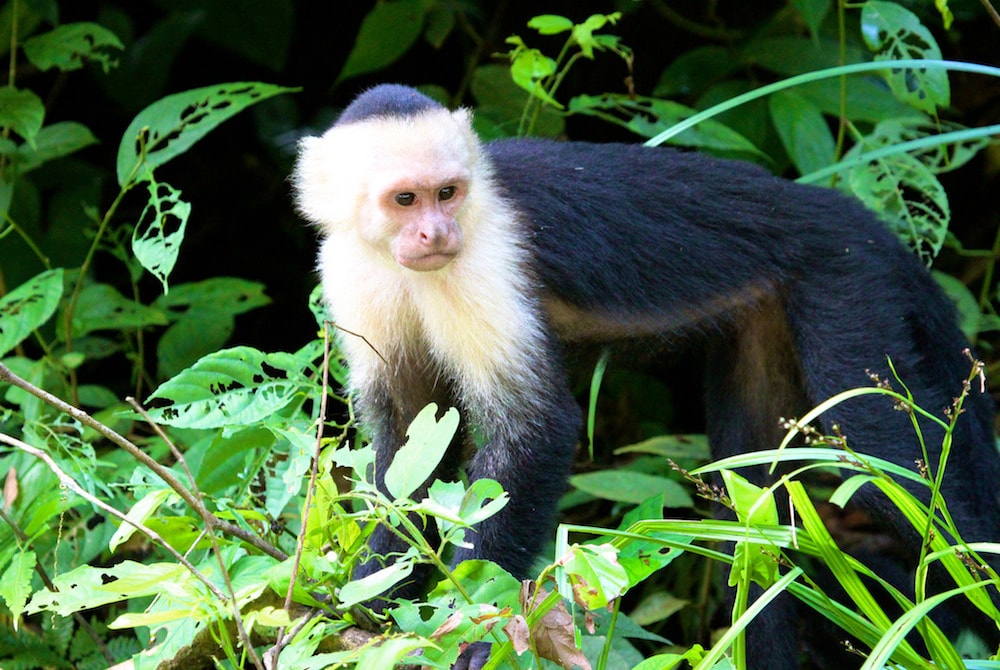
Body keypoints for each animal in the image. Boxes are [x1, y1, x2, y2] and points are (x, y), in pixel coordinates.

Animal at [292, 85, 1000, 670]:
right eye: (405, 199)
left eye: (448, 194)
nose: (436, 233)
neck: (398, 260)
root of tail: (855, 219)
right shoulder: (347, 269)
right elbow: (408, 448)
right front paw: (369, 601)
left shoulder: (482, 259)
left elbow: (536, 429)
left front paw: (474, 625)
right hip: (770, 317)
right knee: (749, 506)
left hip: (849, 284)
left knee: (892, 467)